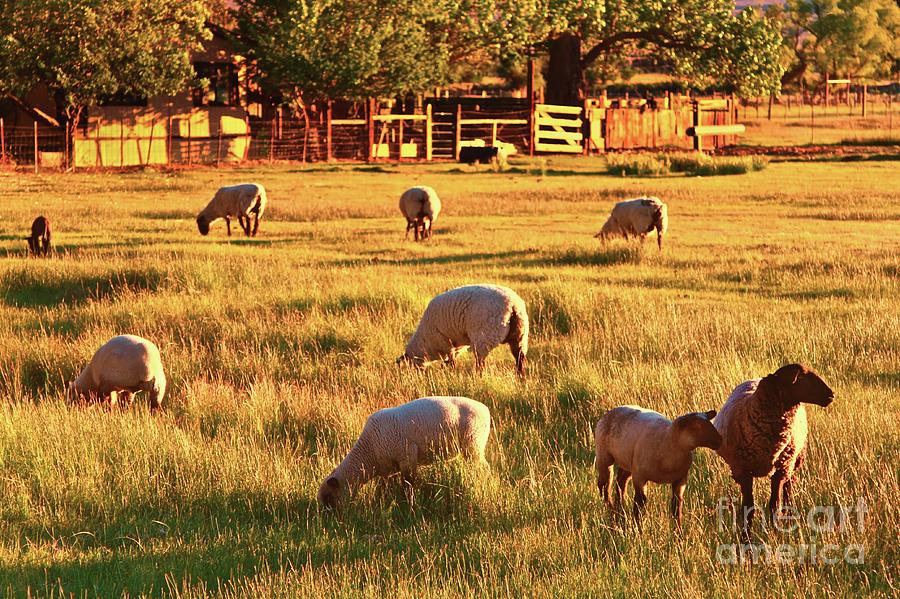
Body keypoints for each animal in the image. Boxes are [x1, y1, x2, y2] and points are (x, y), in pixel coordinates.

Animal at [312, 396, 488, 508]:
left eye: (329, 498)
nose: (333, 522)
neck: (369, 452)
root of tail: (485, 408)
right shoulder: (388, 467)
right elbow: (384, 488)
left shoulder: (407, 457)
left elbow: (408, 485)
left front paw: (410, 504)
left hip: (473, 444)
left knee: (484, 469)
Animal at [394, 284, 528, 376]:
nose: (418, 374)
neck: (425, 341)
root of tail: (513, 305)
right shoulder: (456, 344)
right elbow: (450, 359)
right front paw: (445, 368)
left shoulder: (444, 342)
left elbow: (452, 360)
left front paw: (451, 372)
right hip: (520, 336)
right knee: (519, 358)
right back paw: (520, 377)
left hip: (485, 337)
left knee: (480, 362)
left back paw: (477, 376)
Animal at [596, 406, 724, 524]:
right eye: (697, 426)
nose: (720, 440)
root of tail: (610, 412)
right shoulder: (640, 477)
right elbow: (640, 502)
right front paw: (638, 526)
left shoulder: (680, 480)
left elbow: (677, 506)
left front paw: (678, 530)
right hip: (605, 457)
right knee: (604, 485)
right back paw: (611, 512)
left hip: (628, 462)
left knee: (621, 481)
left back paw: (620, 509)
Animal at [712, 364, 832, 536]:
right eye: (802, 376)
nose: (831, 395)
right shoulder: (742, 471)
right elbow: (748, 508)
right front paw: (745, 537)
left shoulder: (780, 470)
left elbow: (775, 505)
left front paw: (776, 532)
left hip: (794, 459)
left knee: (789, 486)